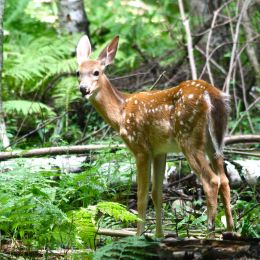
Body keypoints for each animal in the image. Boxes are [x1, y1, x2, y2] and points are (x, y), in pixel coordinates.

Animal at [76, 35, 235, 238]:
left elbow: (142, 194)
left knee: (212, 181)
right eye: (78, 73)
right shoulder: (160, 150)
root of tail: (211, 94)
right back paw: (231, 231)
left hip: (188, 138)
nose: (83, 89)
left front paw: (138, 236)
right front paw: (159, 235)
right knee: (224, 180)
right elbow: (157, 193)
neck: (120, 112)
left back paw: (210, 233)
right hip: (215, 141)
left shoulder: (140, 148)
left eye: (96, 72)